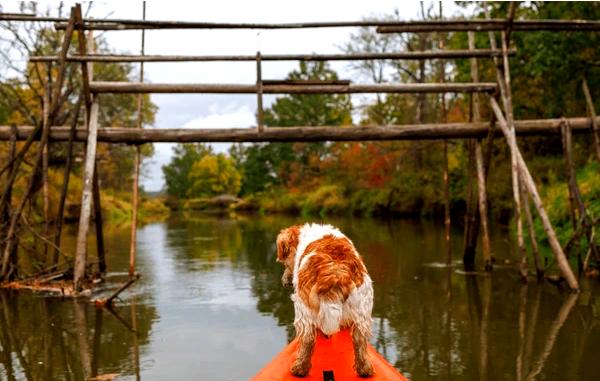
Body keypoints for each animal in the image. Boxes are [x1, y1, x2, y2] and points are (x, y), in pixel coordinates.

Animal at [278, 223, 372, 378]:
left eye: (285, 263)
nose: (285, 281)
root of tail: (336, 273)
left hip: (302, 308)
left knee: (307, 338)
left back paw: (299, 369)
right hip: (362, 311)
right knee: (360, 340)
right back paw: (365, 370)